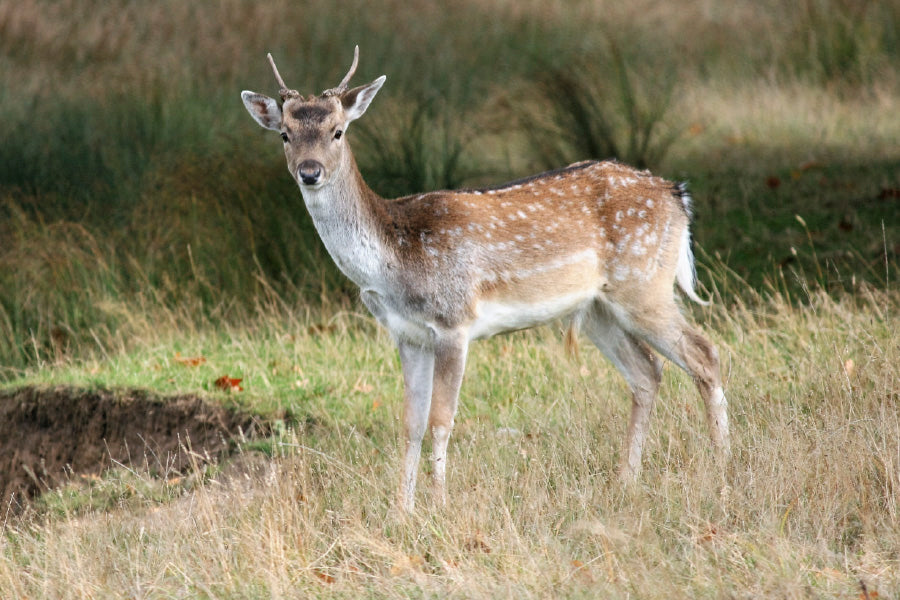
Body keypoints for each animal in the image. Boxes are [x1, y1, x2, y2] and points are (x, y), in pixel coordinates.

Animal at [243, 47, 728, 512]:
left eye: (338, 131)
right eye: (285, 134)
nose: (309, 171)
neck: (394, 258)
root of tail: (677, 196)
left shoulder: (453, 320)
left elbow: (441, 420)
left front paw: (439, 506)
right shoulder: (406, 334)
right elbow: (410, 423)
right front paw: (401, 511)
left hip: (643, 283)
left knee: (703, 354)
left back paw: (723, 472)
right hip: (597, 309)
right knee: (647, 371)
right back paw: (626, 481)